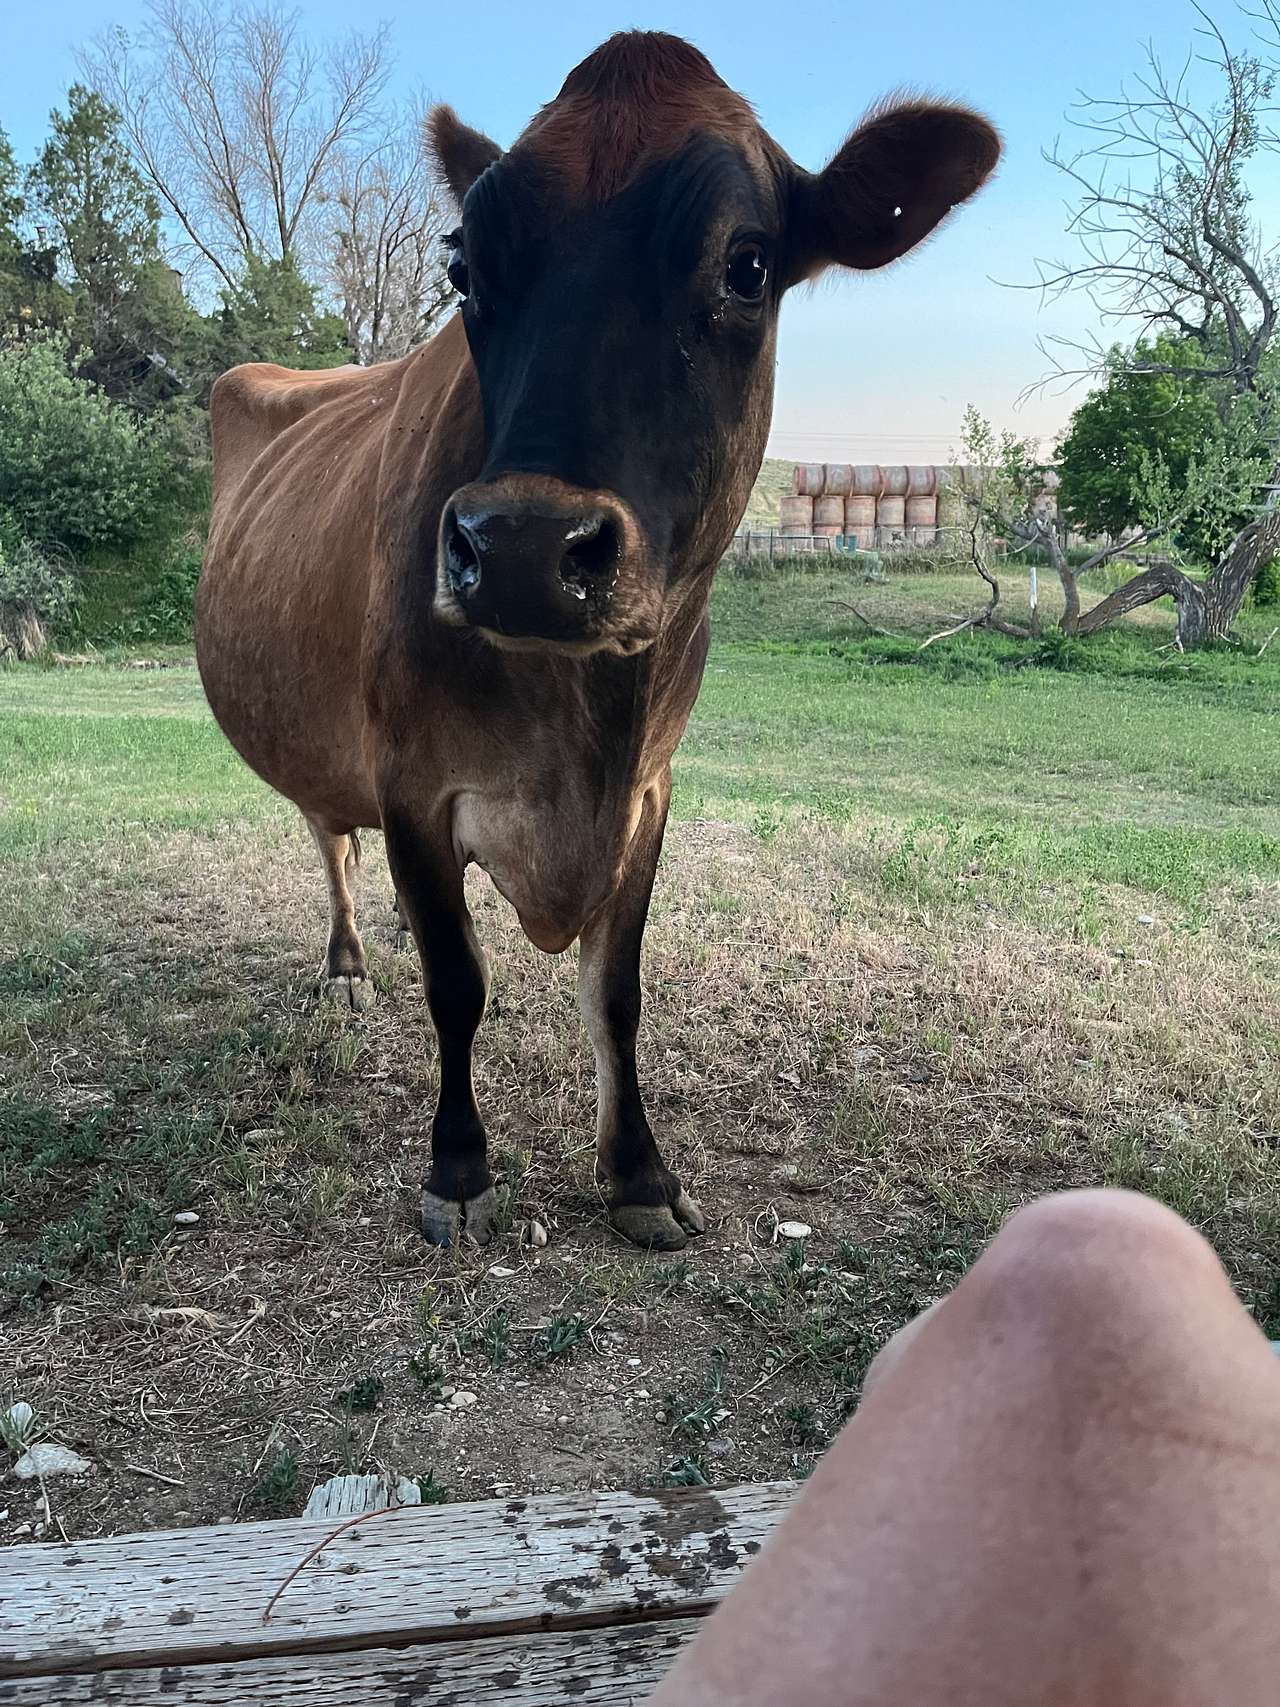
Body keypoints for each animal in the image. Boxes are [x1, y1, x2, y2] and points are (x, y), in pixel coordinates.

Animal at [196, 32, 999, 1252]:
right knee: (327, 835)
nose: (522, 545)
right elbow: (458, 982)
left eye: (747, 266)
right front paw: (460, 1168)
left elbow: (614, 991)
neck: (585, 723)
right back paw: (346, 963)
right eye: (462, 269)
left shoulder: (650, 790)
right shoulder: (414, 785)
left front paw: (637, 1173)